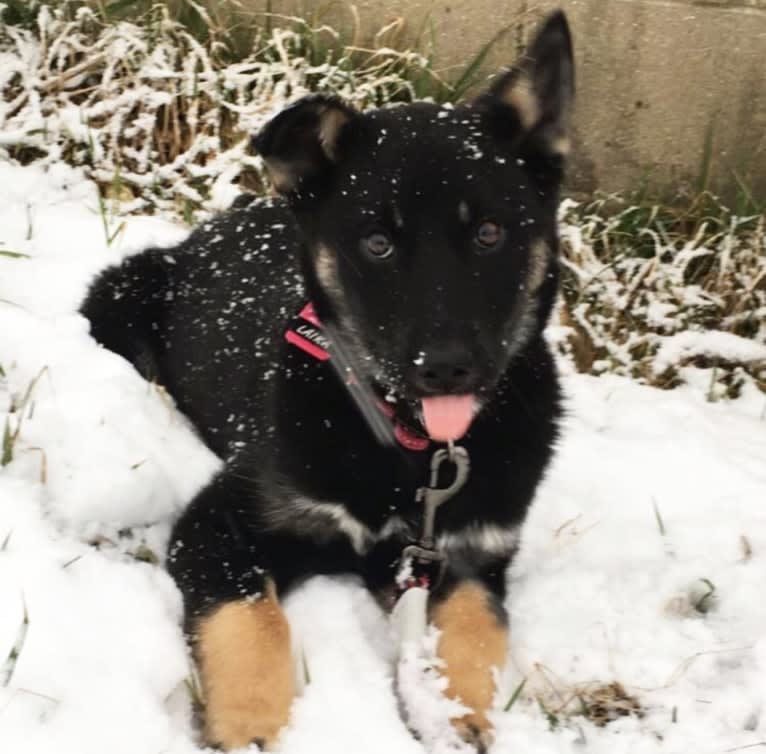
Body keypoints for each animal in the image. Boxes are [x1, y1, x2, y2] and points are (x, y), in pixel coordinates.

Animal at [82, 10, 576, 748]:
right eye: (377, 244)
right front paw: (252, 726)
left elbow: (474, 632)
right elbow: (252, 619)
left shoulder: (467, 557)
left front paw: (456, 718)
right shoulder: (220, 524)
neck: (409, 448)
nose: (445, 368)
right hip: (121, 290)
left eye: (490, 233)